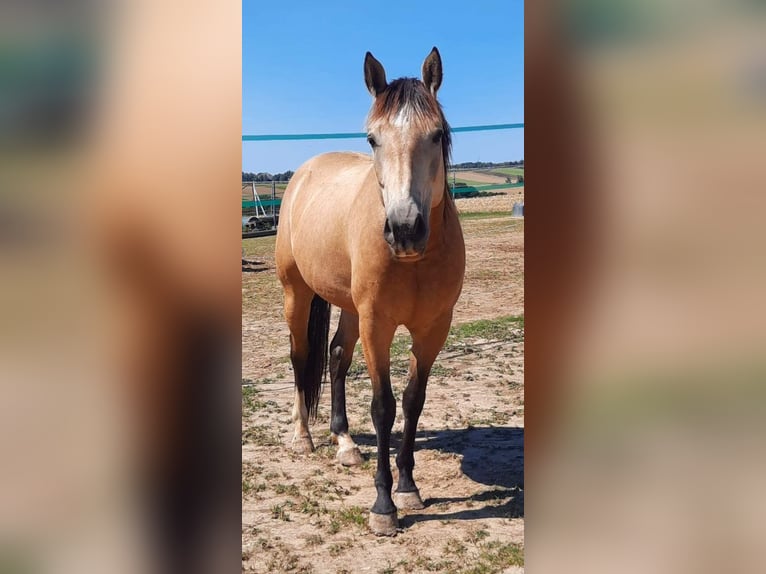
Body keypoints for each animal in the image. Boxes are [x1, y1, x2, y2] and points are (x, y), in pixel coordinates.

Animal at [275, 47, 466, 536]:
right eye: (372, 139)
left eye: (437, 134)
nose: (405, 229)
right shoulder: (378, 324)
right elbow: (384, 407)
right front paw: (383, 505)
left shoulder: (434, 329)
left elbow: (413, 401)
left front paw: (409, 486)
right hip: (296, 294)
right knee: (300, 357)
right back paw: (302, 435)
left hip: (350, 307)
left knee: (337, 356)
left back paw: (343, 441)